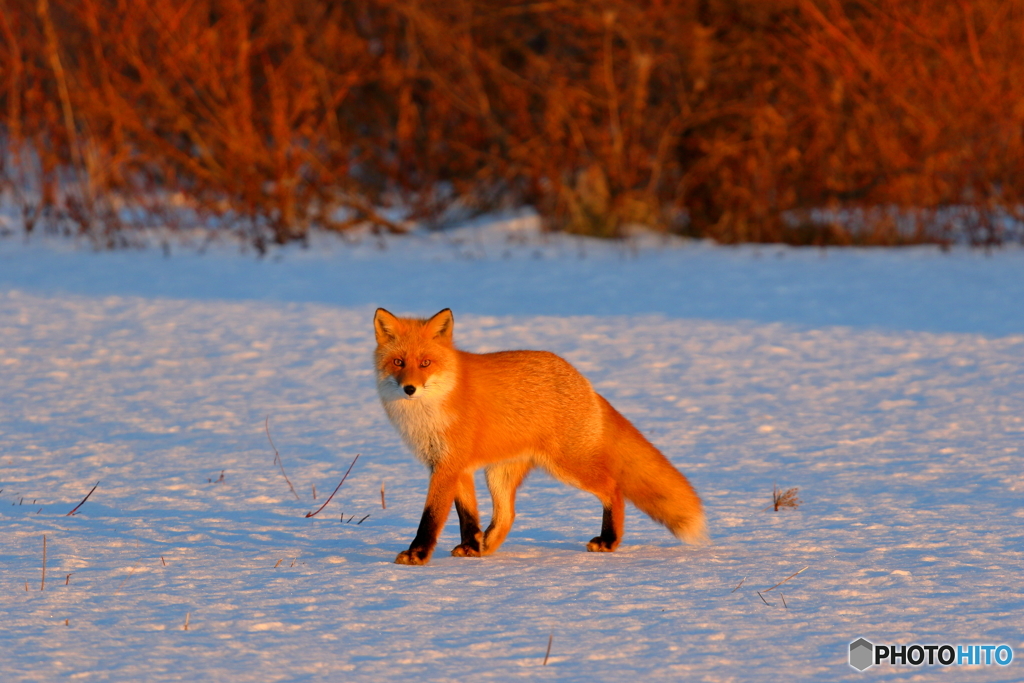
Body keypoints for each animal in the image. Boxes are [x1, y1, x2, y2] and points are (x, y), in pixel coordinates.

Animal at [372, 307, 708, 565]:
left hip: (568, 465)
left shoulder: (448, 465)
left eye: (425, 363)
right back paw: (486, 547)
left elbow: (431, 516)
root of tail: (584, 382)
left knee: (614, 489)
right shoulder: (453, 466)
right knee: (508, 515)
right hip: (500, 474)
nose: (410, 389)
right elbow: (467, 514)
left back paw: (609, 541)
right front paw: (470, 545)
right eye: (398, 362)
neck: (427, 411)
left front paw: (417, 555)